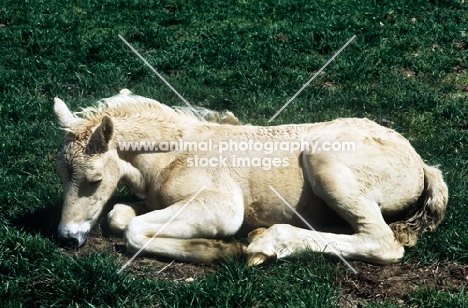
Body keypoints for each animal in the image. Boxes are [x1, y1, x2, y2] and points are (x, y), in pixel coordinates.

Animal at [53, 90, 448, 266]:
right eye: (61, 173)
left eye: (94, 178)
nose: (67, 238)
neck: (174, 155)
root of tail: (420, 163)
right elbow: (119, 215)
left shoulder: (221, 207)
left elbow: (133, 230)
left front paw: (220, 250)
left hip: (327, 161)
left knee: (381, 242)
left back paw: (266, 242)